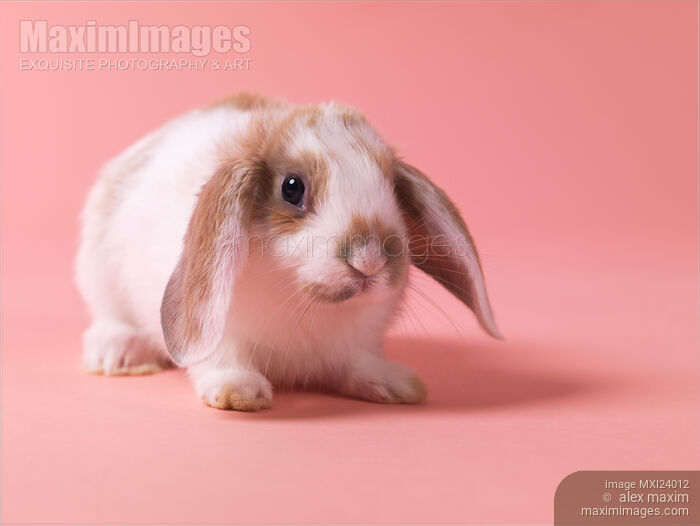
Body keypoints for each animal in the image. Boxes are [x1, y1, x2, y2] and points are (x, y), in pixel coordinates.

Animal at [75, 92, 502, 411]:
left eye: (394, 190)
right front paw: (240, 391)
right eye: (292, 188)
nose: (369, 258)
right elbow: (222, 359)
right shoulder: (222, 334)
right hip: (98, 273)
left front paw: (393, 383)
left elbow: (358, 364)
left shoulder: (356, 344)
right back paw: (116, 353)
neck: (302, 302)